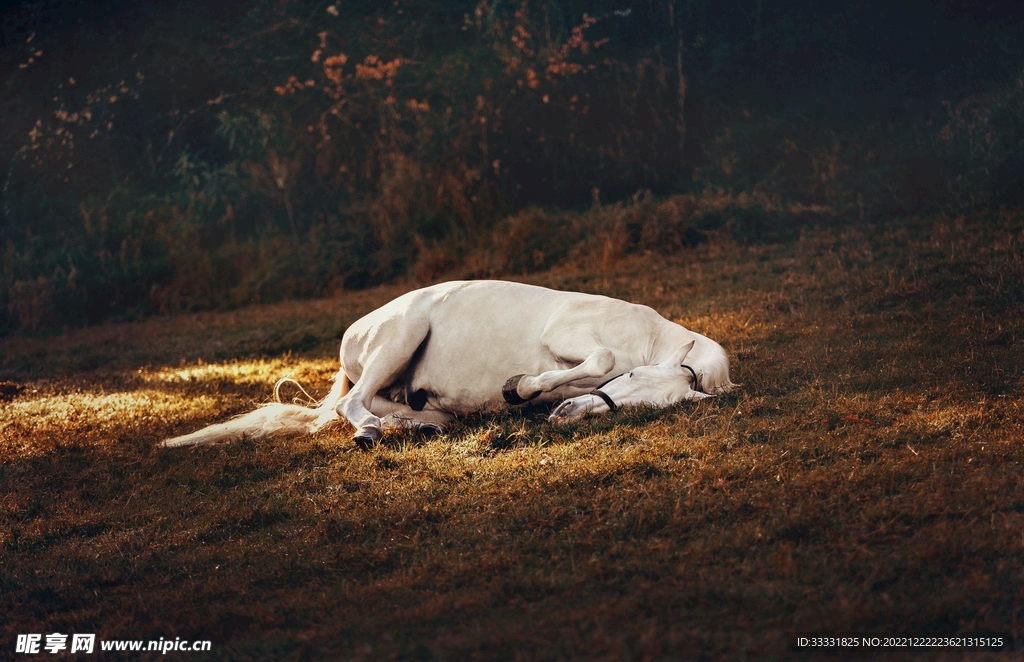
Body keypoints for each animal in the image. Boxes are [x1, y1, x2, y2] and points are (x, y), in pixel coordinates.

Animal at [160, 280, 734, 449]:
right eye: (630, 379)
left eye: (641, 408)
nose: (565, 416)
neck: (647, 335)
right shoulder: (568, 336)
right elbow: (597, 358)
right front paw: (520, 387)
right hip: (400, 336)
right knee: (353, 405)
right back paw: (370, 432)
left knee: (391, 407)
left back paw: (418, 424)